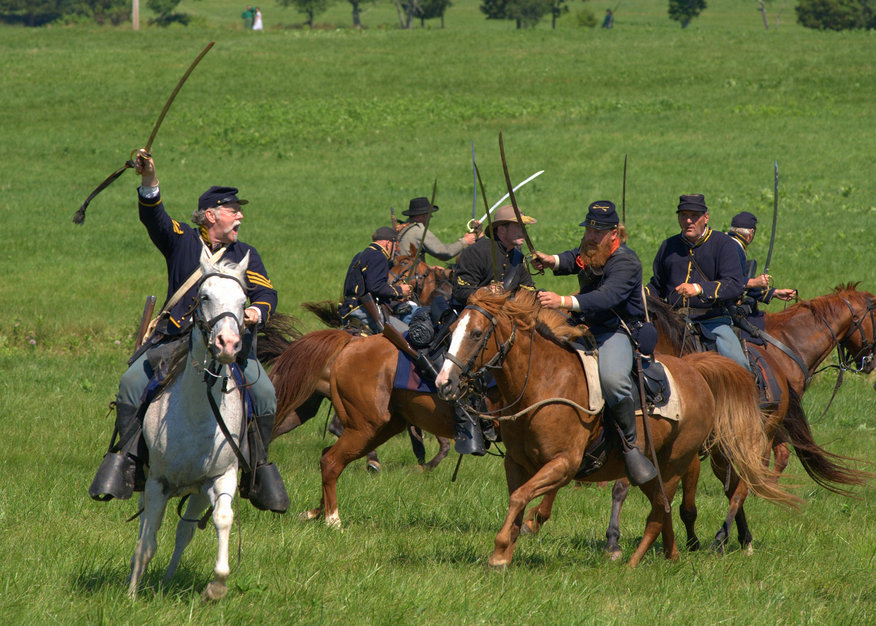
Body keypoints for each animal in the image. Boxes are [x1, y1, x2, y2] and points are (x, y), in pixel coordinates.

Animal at [130, 246, 253, 596]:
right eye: (205, 296)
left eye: (243, 301)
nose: (228, 345)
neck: (197, 414)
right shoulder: (157, 482)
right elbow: (147, 544)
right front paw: (131, 594)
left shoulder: (220, 477)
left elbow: (223, 518)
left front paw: (217, 586)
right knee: (145, 530)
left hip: (196, 493)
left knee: (183, 533)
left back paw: (169, 579)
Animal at [434, 290, 796, 568]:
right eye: (451, 330)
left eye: (476, 334)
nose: (444, 383)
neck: (544, 381)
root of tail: (695, 369)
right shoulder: (517, 463)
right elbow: (518, 500)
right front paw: (507, 551)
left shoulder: (563, 464)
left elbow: (521, 497)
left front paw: (499, 552)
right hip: (653, 470)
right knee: (663, 509)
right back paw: (672, 554)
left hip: (675, 464)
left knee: (662, 510)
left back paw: (635, 562)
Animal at [604, 286, 872, 552]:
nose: (869, 362)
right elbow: (624, 485)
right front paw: (613, 539)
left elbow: (686, 503)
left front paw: (692, 543)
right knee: (737, 482)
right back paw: (740, 535)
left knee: (742, 483)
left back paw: (725, 537)